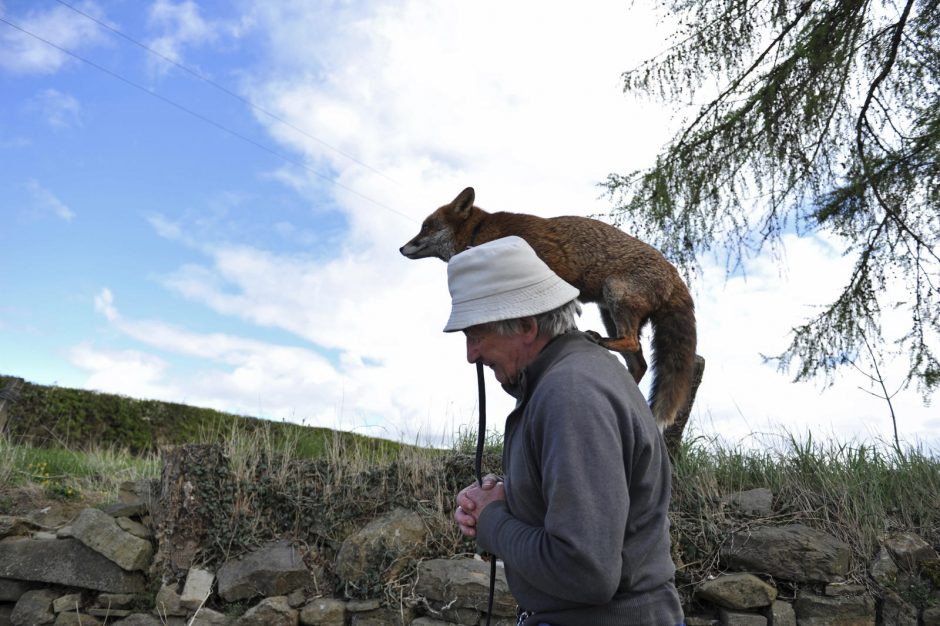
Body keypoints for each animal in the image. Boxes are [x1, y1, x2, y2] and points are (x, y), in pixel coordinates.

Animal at [398, 185, 696, 428]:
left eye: (427, 227)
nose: (401, 248)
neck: (481, 233)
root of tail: (675, 274)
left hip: (615, 294)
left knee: (632, 344)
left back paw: (601, 342)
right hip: (608, 312)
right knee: (640, 363)